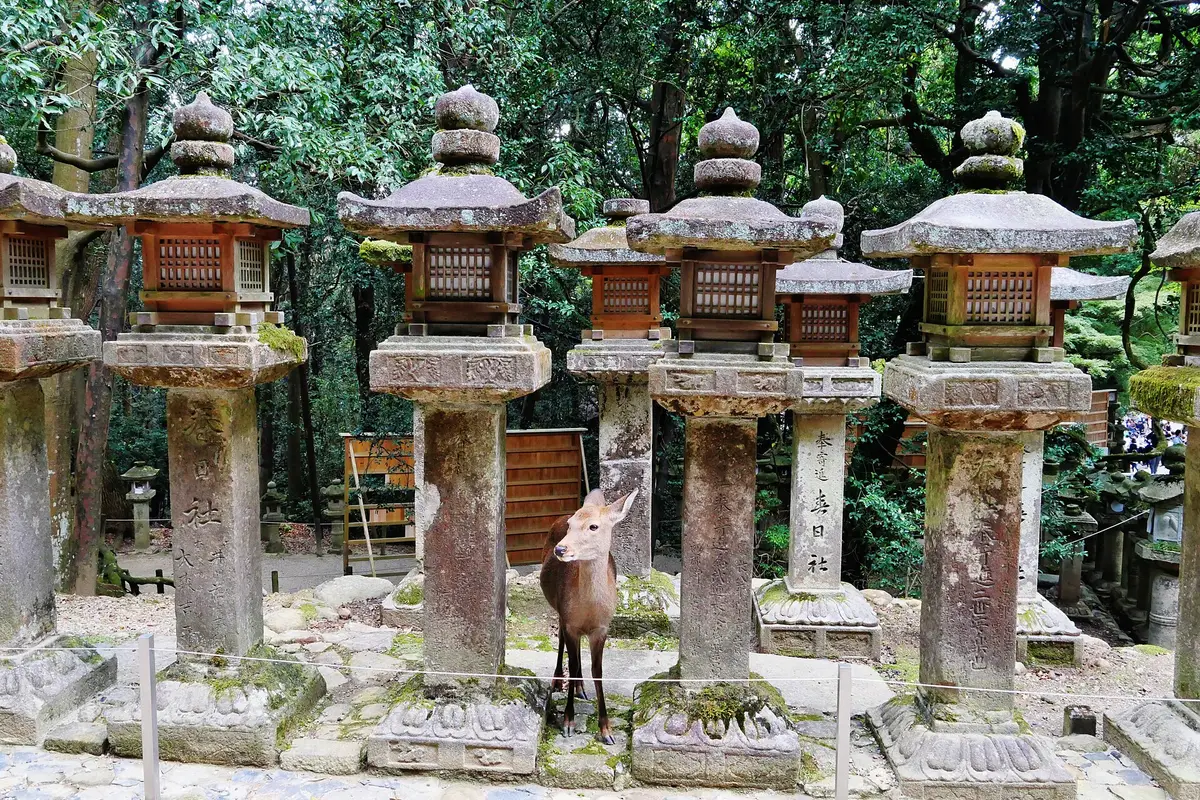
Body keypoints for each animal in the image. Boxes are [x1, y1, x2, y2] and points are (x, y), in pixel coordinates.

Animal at [540, 488, 637, 744]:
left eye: (594, 526)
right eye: (571, 525)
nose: (560, 549)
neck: (589, 609)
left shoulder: (602, 628)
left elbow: (598, 671)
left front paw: (607, 730)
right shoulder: (570, 621)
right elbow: (572, 664)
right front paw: (568, 722)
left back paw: (581, 689)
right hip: (558, 609)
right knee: (561, 641)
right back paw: (558, 681)